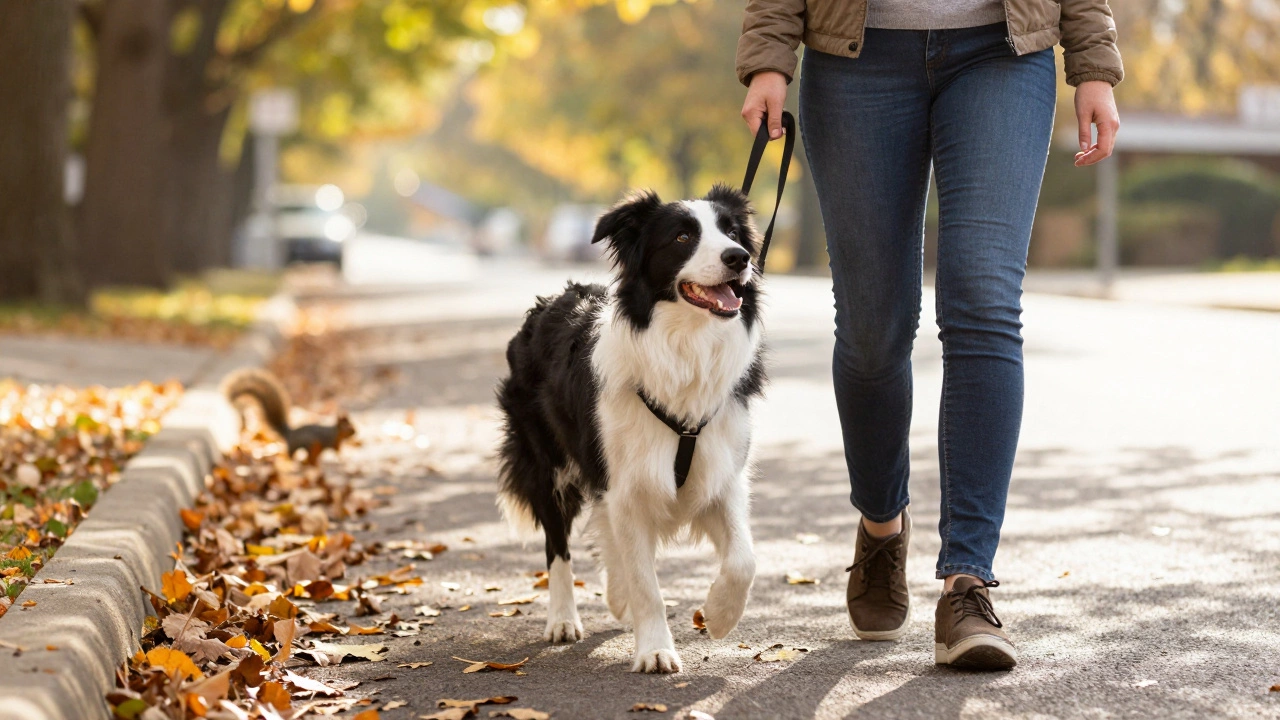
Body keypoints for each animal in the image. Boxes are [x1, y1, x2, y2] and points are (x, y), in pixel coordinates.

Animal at [221, 368, 356, 462]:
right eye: (349, 428)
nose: (355, 432)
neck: (336, 432)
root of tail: (289, 434)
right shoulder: (332, 442)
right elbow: (337, 452)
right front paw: (344, 458)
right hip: (305, 444)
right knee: (290, 454)